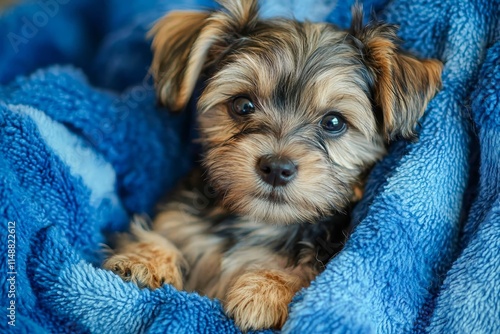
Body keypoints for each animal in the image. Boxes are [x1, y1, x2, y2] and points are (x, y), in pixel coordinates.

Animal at [104, 0, 442, 332]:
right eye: (242, 105)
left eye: (334, 122)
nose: (277, 168)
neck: (262, 223)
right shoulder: (180, 221)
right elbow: (165, 234)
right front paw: (144, 260)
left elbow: (309, 278)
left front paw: (267, 289)